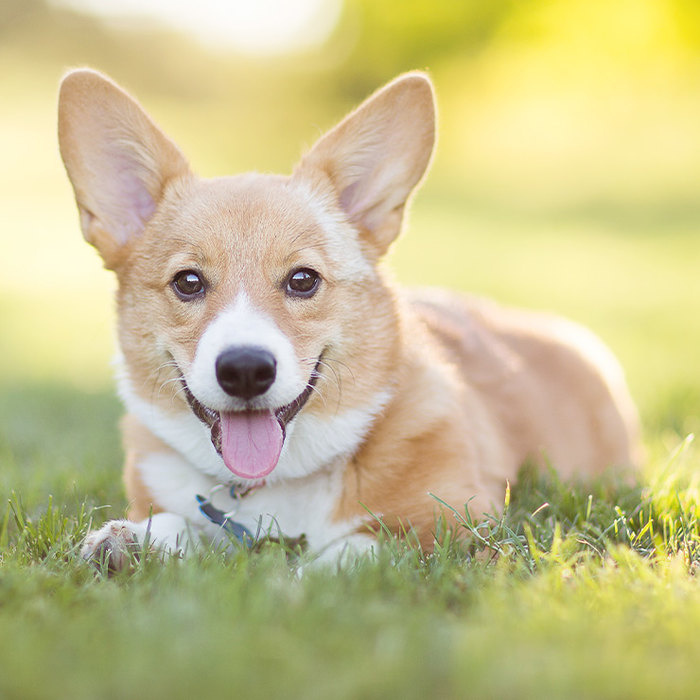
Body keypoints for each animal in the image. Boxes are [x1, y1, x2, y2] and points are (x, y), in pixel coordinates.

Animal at [60, 68, 640, 568]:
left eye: (303, 280)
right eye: (187, 282)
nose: (245, 371)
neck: (275, 483)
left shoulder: (466, 523)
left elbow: (359, 546)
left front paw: (301, 576)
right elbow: (178, 521)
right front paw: (131, 540)